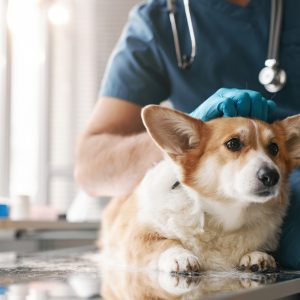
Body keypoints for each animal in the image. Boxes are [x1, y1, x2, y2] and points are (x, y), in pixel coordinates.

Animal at [100, 105, 300, 274]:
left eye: (274, 148)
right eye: (233, 144)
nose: (272, 176)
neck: (224, 218)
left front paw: (256, 255)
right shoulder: (135, 238)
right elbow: (164, 243)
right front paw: (180, 256)